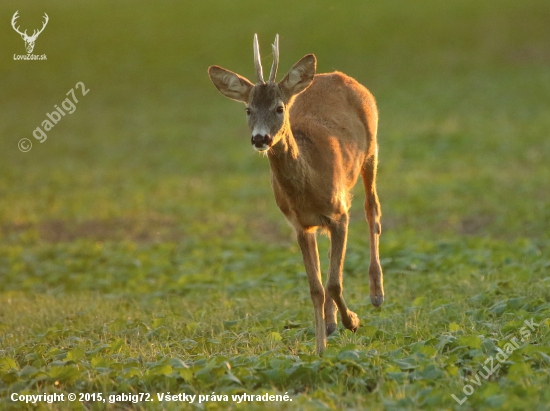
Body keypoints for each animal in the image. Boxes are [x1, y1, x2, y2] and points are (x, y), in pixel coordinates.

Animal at [209, 34, 386, 354]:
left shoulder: (340, 213)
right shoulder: (299, 225)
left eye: (279, 108)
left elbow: (334, 283)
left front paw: (353, 321)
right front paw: (320, 348)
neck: (309, 184)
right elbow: (316, 287)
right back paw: (330, 323)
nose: (260, 138)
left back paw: (376, 294)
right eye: (248, 109)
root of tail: (339, 76)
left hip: (372, 150)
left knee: (372, 210)